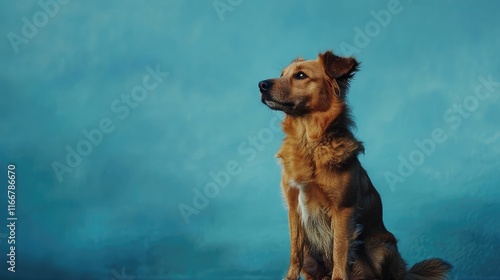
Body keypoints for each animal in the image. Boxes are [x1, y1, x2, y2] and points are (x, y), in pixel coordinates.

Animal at [258, 50, 454, 280]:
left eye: (300, 76)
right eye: (282, 74)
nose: (261, 84)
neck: (309, 143)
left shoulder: (343, 209)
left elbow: (340, 251)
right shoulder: (293, 207)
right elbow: (294, 251)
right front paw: (289, 277)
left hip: (378, 246)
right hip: (312, 254)